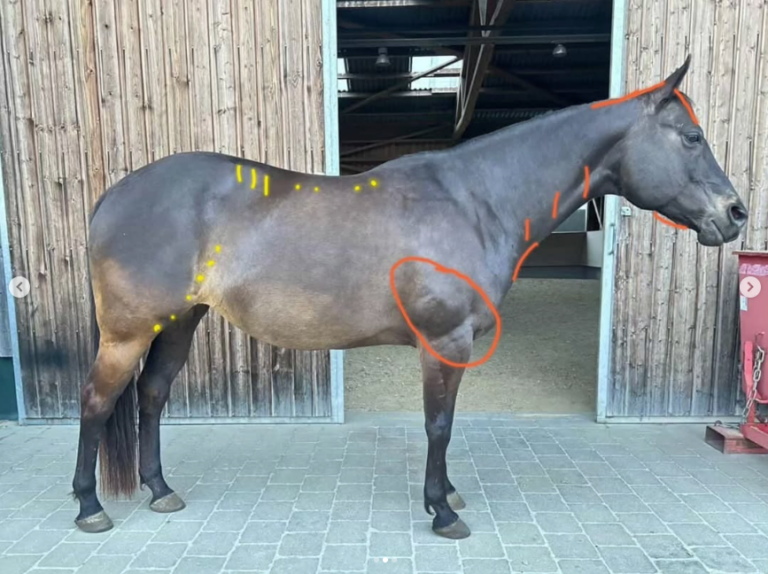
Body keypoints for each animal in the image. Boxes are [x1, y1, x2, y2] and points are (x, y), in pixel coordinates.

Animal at [72, 56, 747, 539]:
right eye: (691, 137)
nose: (735, 214)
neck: (475, 202)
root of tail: (113, 196)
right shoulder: (445, 341)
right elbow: (439, 424)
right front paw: (442, 512)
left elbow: (444, 426)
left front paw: (445, 495)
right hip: (129, 332)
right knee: (98, 403)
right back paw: (89, 506)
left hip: (180, 322)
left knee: (152, 397)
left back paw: (161, 491)